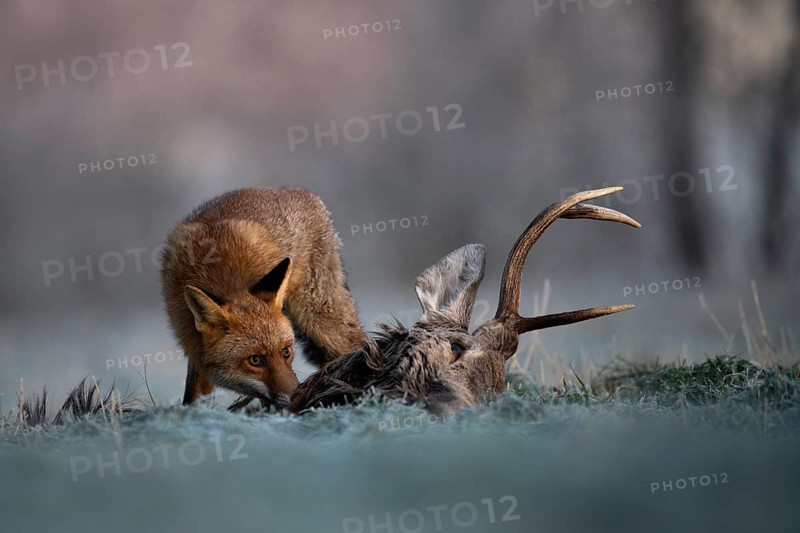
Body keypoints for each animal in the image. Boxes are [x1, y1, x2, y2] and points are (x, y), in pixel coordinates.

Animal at [160, 187, 365, 407]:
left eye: (286, 352)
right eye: (255, 360)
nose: (296, 397)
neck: (216, 272)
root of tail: (302, 192)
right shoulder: (193, 343)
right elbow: (193, 395)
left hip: (321, 319)